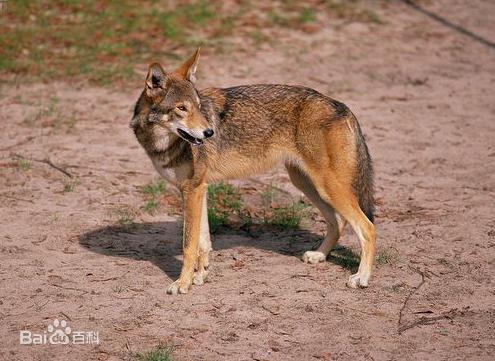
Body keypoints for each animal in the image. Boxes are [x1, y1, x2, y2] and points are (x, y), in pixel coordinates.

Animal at [132, 49, 376, 294]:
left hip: (326, 186)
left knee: (367, 227)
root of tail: (341, 106)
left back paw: (361, 278)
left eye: (199, 107)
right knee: (339, 222)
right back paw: (319, 256)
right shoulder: (198, 190)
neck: (163, 143)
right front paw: (199, 276)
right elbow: (203, 242)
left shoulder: (192, 191)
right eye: (181, 108)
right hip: (306, 184)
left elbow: (188, 245)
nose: (209, 132)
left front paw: (182, 283)